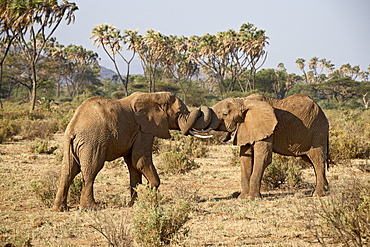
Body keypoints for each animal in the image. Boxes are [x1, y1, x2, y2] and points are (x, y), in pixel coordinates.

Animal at [52, 91, 204, 211]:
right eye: (178, 113)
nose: (201, 110)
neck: (154, 95)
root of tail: (73, 127)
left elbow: (132, 165)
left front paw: (134, 204)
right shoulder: (144, 130)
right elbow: (140, 161)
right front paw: (150, 196)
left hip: (70, 143)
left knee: (68, 171)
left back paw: (60, 208)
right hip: (92, 142)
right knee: (91, 170)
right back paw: (91, 207)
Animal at [194, 93, 330, 200]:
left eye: (225, 114)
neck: (244, 101)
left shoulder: (267, 128)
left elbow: (263, 157)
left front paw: (252, 198)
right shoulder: (247, 127)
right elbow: (245, 158)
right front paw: (242, 197)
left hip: (317, 131)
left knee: (317, 159)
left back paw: (318, 194)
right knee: (309, 159)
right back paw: (327, 189)